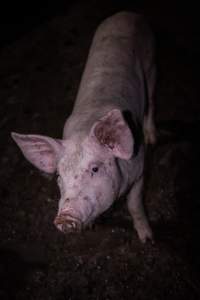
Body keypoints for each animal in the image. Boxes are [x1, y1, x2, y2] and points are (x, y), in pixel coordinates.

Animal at [11, 10, 157, 243]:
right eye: (59, 176)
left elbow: (134, 204)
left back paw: (153, 137)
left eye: (95, 169)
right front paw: (91, 226)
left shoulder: (140, 169)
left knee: (151, 100)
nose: (64, 217)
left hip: (151, 62)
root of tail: (125, 13)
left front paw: (148, 240)